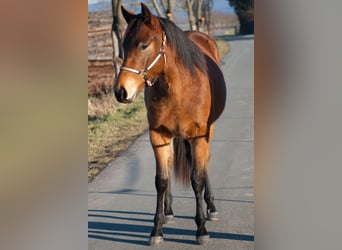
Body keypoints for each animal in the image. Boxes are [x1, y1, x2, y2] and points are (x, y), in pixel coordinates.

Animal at [114, 3, 227, 246]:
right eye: (124, 46)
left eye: (144, 45)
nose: (121, 91)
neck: (179, 88)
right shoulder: (159, 136)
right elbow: (162, 181)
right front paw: (156, 229)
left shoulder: (198, 136)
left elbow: (197, 179)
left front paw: (201, 229)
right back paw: (168, 211)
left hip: (208, 132)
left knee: (205, 164)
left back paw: (211, 207)